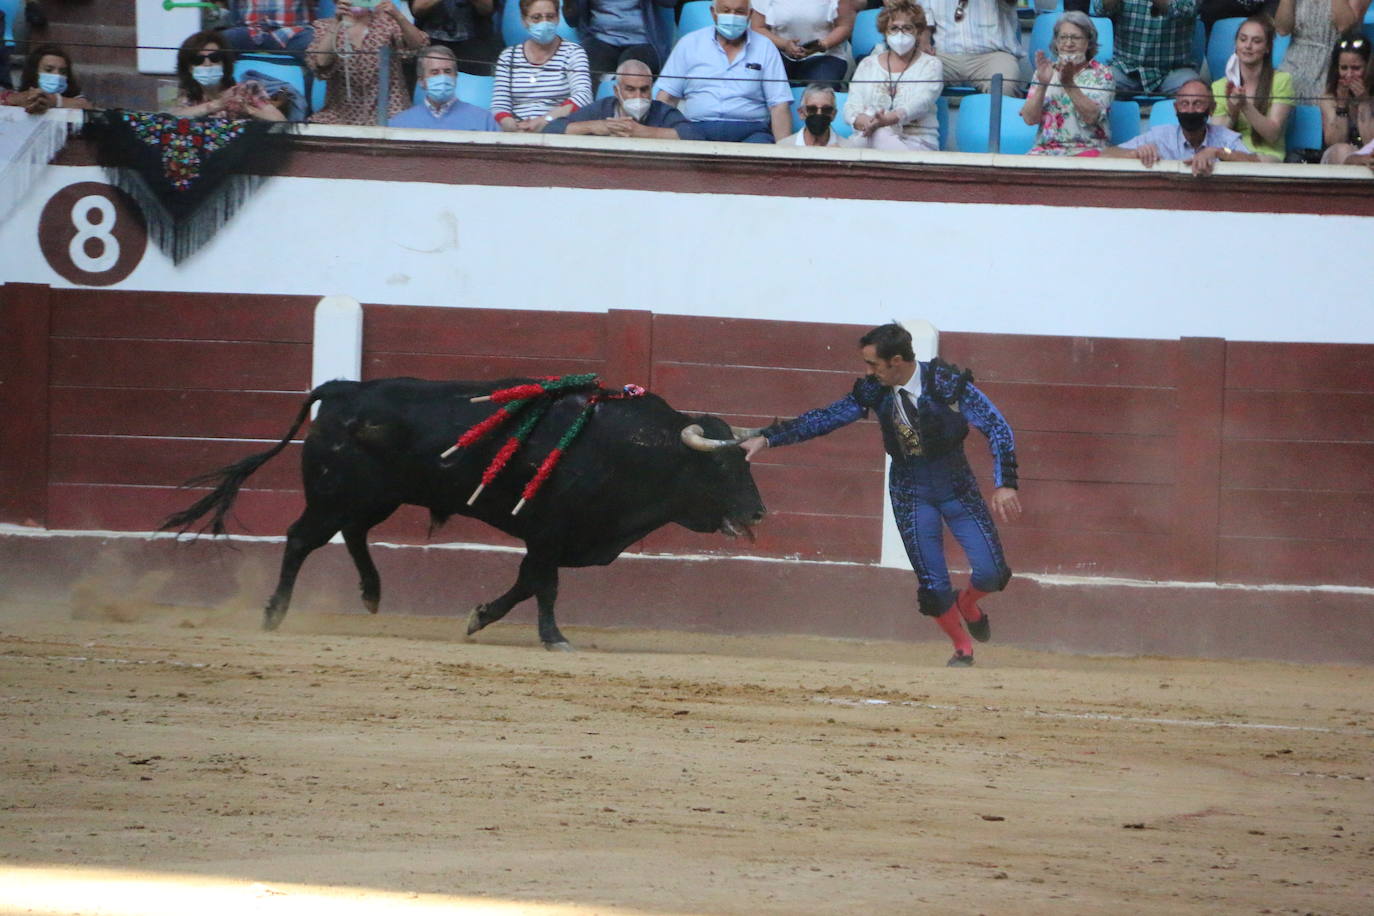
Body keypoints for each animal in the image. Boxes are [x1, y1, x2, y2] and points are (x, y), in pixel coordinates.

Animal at [160, 376, 769, 648]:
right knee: (300, 539)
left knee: (351, 535)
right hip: (335, 494)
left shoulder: (552, 540)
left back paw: (372, 594)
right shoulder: (548, 532)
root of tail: (342, 388)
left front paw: (480, 616)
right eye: (722, 467)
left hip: (374, 498)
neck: (635, 449)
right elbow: (544, 585)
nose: (759, 513)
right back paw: (274, 613)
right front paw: (553, 637)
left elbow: (524, 583)